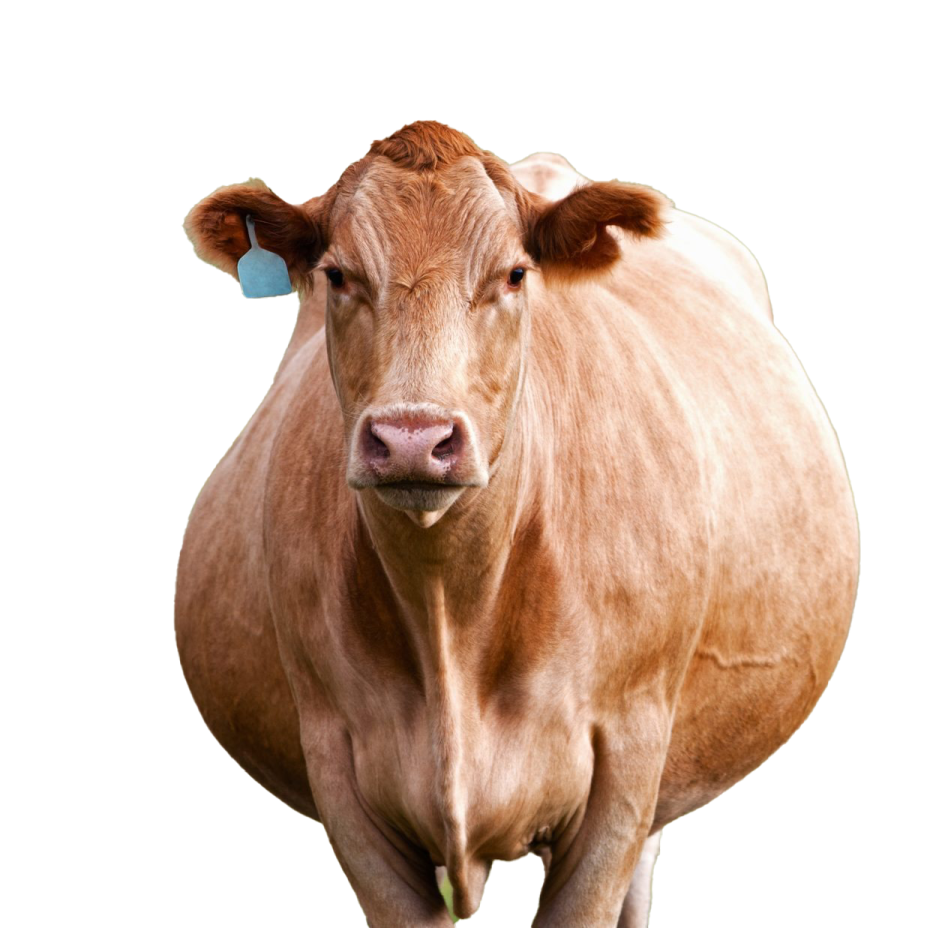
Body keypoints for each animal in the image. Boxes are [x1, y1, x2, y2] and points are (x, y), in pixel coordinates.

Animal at [175, 120, 858, 927]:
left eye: (512, 275)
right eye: (338, 276)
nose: (413, 437)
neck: (452, 612)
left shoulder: (625, 765)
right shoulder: (340, 775)